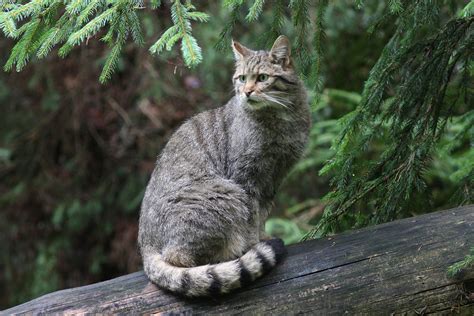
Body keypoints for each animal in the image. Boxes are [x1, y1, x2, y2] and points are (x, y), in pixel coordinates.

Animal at [138, 35, 312, 298]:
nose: (247, 92)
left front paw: (262, 236)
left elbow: (263, 214)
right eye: (241, 78)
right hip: (225, 193)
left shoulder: (273, 177)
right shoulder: (246, 177)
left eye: (262, 78)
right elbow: (253, 216)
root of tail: (145, 245)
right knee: (179, 258)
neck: (280, 118)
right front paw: (254, 244)